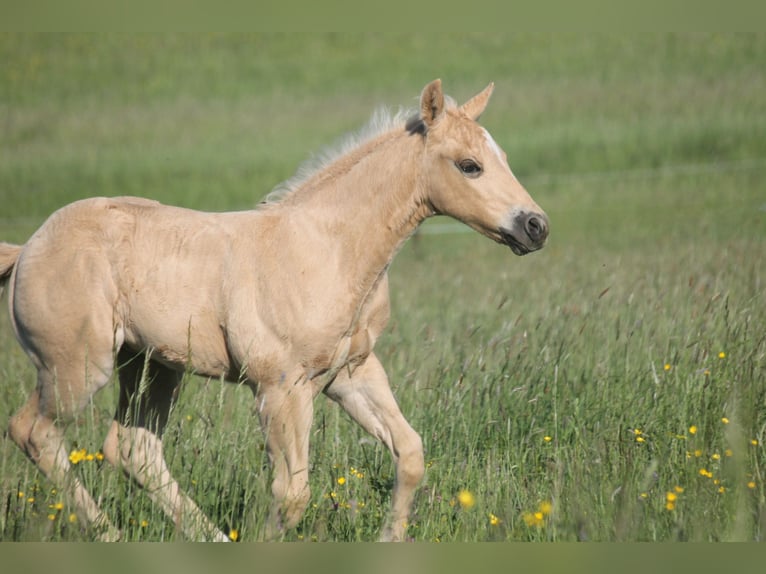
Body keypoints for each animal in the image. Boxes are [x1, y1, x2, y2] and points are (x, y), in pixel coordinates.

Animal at [0, 79, 548, 541]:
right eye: (469, 165)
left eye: (501, 156)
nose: (536, 226)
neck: (328, 248)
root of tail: (28, 247)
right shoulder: (282, 388)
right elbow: (292, 496)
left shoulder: (351, 373)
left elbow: (410, 453)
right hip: (76, 365)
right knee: (36, 433)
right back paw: (108, 534)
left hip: (150, 365)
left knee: (134, 449)